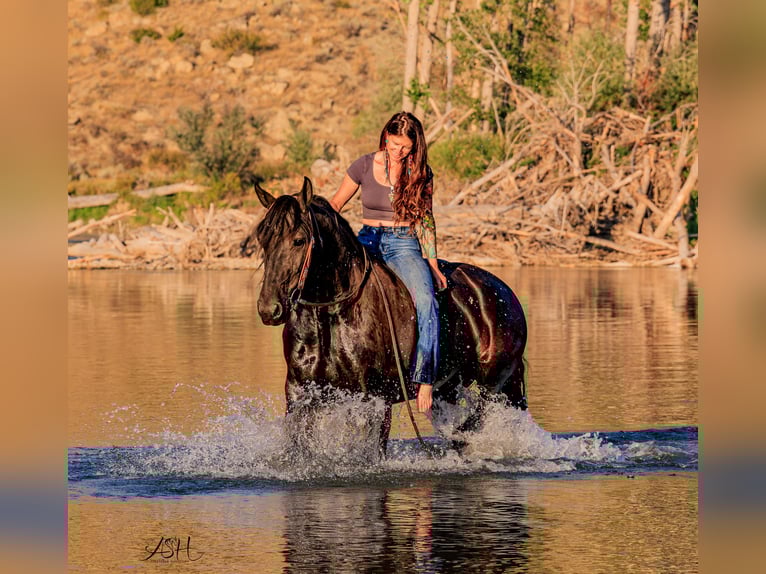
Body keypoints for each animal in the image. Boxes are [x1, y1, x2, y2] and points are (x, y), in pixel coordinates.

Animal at [240, 177, 527, 458]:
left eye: (299, 240)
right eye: (263, 239)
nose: (269, 309)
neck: (332, 315)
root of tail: (503, 291)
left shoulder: (376, 398)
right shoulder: (300, 394)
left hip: (496, 385)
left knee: (475, 424)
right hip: (450, 389)